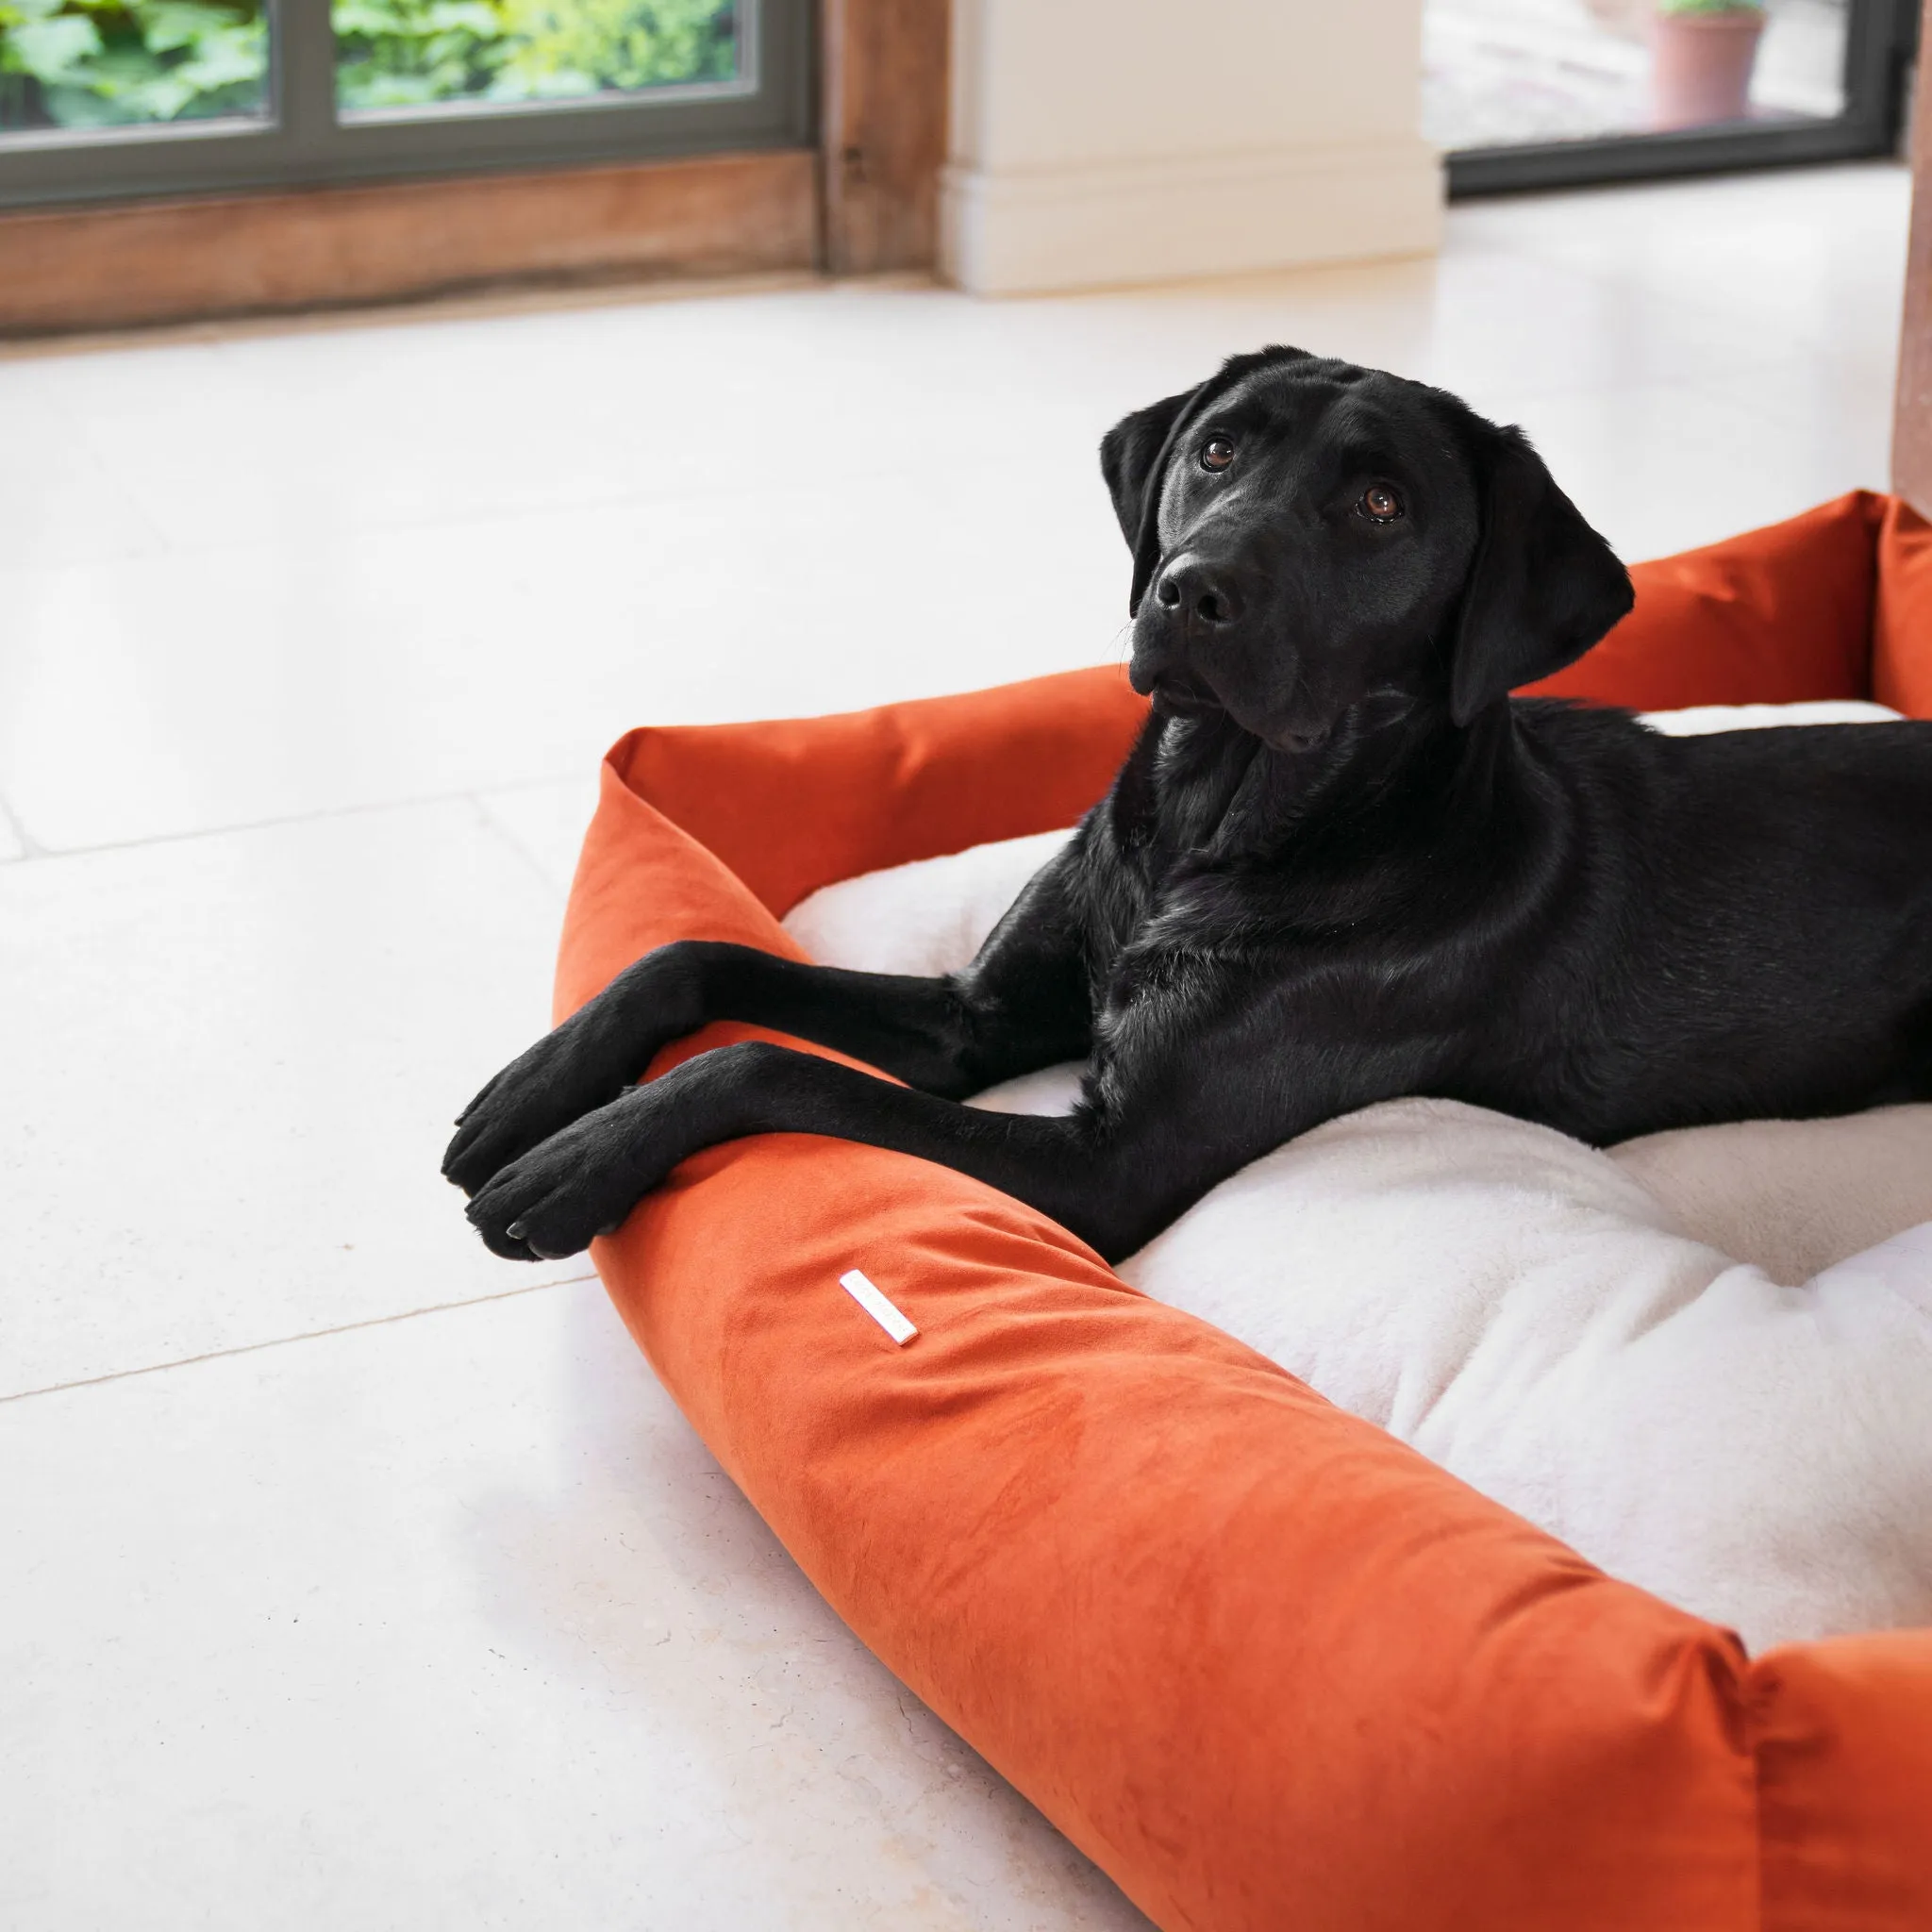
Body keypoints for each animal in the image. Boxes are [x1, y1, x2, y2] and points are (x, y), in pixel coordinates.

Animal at [441, 347, 1932, 1267]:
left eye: (1381, 504)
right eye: (1215, 450)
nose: (1190, 588)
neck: (1214, 822)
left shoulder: (1110, 1167)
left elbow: (764, 1064)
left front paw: (573, 1163)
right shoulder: (981, 1017)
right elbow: (693, 955)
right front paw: (531, 1086)